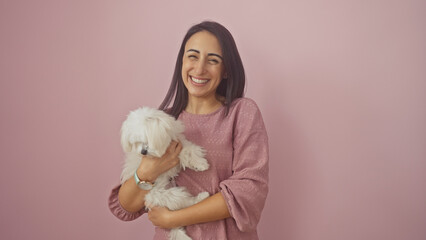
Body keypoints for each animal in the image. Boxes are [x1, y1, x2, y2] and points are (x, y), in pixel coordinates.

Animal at [120, 107, 210, 240]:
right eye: (136, 142)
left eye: (146, 139)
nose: (143, 152)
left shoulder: (178, 141)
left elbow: (188, 150)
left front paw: (200, 164)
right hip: (165, 195)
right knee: (183, 203)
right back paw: (201, 197)